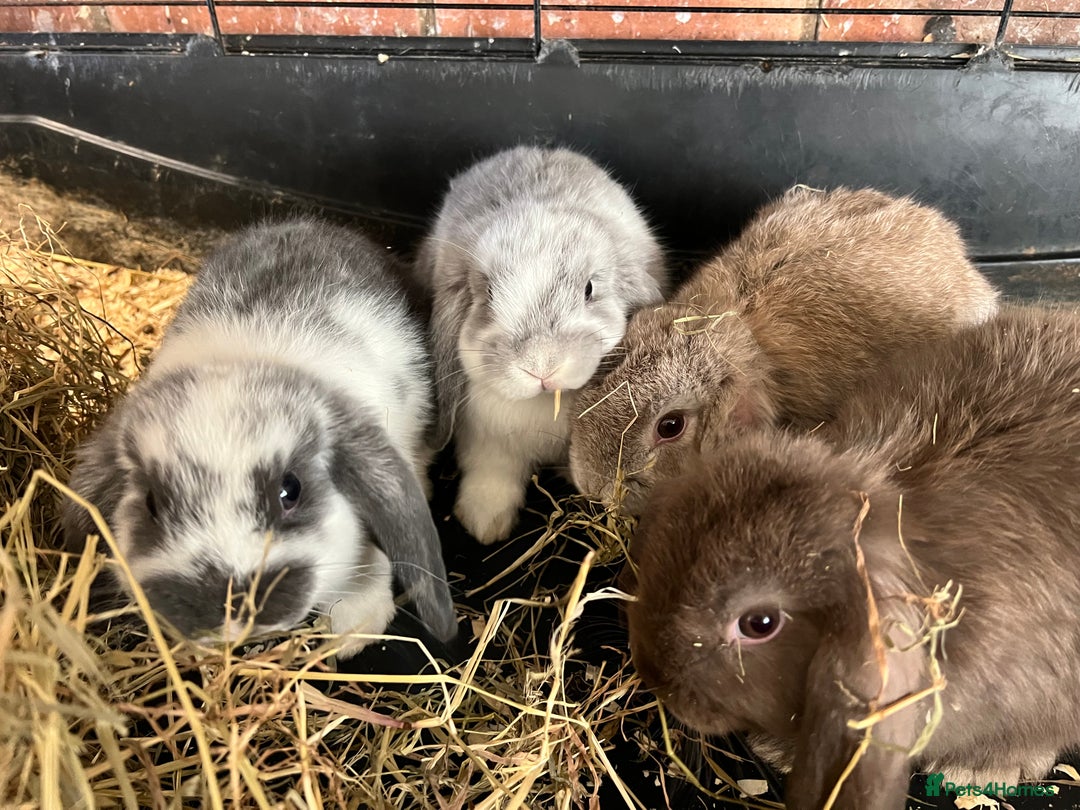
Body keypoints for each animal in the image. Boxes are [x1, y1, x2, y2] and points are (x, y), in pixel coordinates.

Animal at [418, 145, 668, 544]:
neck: (543, 405)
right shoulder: (487, 442)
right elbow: (493, 475)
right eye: (488, 294)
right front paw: (484, 524)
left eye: (589, 289)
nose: (540, 366)